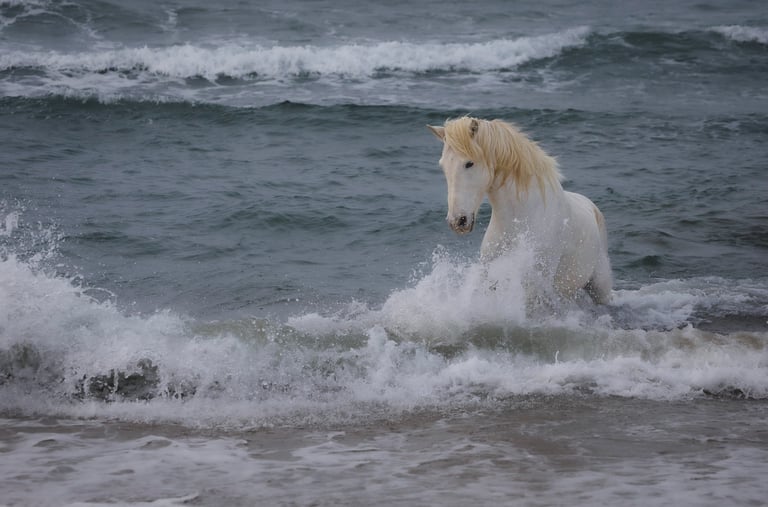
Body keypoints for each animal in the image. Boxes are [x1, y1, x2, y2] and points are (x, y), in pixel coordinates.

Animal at [428, 116, 612, 304]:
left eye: (469, 163)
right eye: (443, 166)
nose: (457, 221)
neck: (519, 221)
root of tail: (592, 207)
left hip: (600, 287)